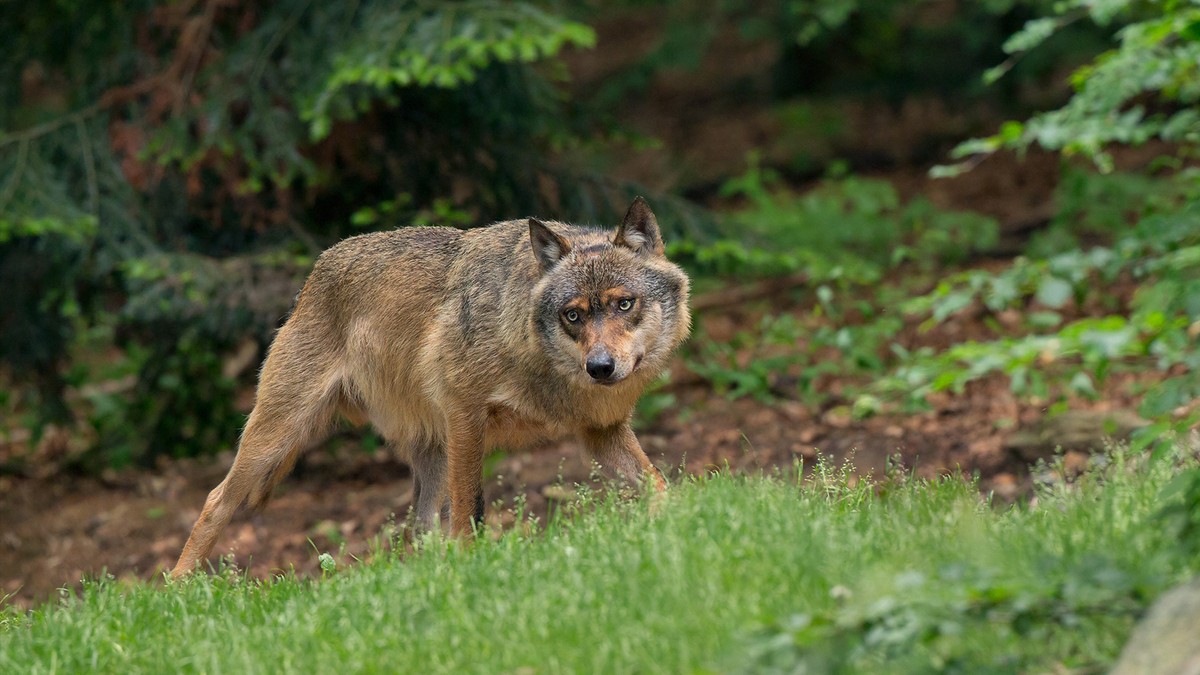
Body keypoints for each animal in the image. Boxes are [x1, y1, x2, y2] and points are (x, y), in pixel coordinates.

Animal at [172, 196, 691, 576]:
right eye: (574, 315)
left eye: (624, 304)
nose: (600, 367)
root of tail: (315, 271)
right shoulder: (465, 416)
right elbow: (467, 515)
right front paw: (471, 567)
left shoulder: (600, 432)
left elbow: (659, 484)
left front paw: (687, 519)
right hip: (275, 439)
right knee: (215, 500)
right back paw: (177, 589)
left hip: (430, 456)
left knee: (417, 532)